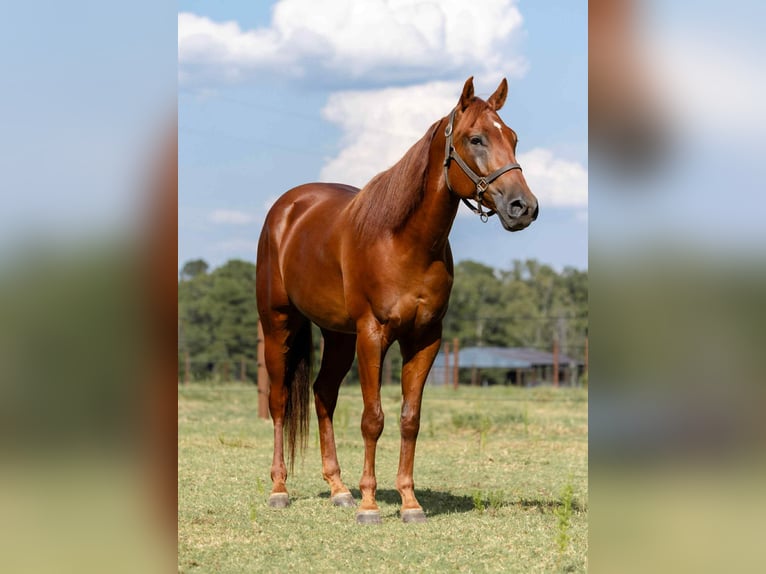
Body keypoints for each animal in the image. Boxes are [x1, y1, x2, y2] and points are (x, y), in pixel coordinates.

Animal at [255, 77, 538, 524]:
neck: (404, 241)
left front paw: (409, 502)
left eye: (513, 138)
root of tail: (287, 209)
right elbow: (373, 419)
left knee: (323, 394)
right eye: (475, 138)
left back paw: (339, 490)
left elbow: (410, 419)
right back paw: (280, 489)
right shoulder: (373, 335)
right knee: (280, 401)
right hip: (278, 323)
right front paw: (370, 506)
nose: (523, 207)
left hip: (338, 336)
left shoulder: (424, 339)